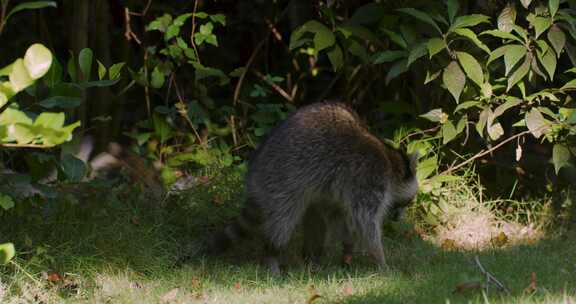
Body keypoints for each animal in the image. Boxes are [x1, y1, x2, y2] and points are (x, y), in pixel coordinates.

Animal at [209, 102, 416, 274]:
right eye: (409, 201)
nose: (399, 218)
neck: (390, 160)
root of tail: (256, 167)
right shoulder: (368, 178)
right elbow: (366, 223)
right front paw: (380, 260)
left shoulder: (338, 190)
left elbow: (342, 218)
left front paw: (348, 249)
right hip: (282, 179)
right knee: (283, 221)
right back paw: (272, 254)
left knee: (314, 219)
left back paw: (312, 257)